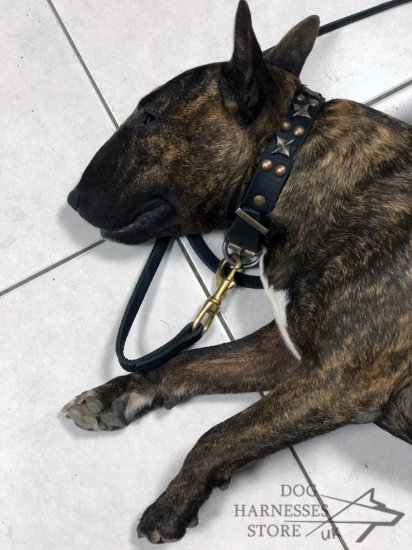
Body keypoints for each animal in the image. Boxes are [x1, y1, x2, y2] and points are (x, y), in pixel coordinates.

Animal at [62, 0, 410, 544]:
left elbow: (222, 432)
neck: (289, 167)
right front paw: (117, 395)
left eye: (149, 116)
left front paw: (173, 502)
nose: (73, 200)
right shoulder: (290, 350)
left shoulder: (340, 379)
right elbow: (192, 362)